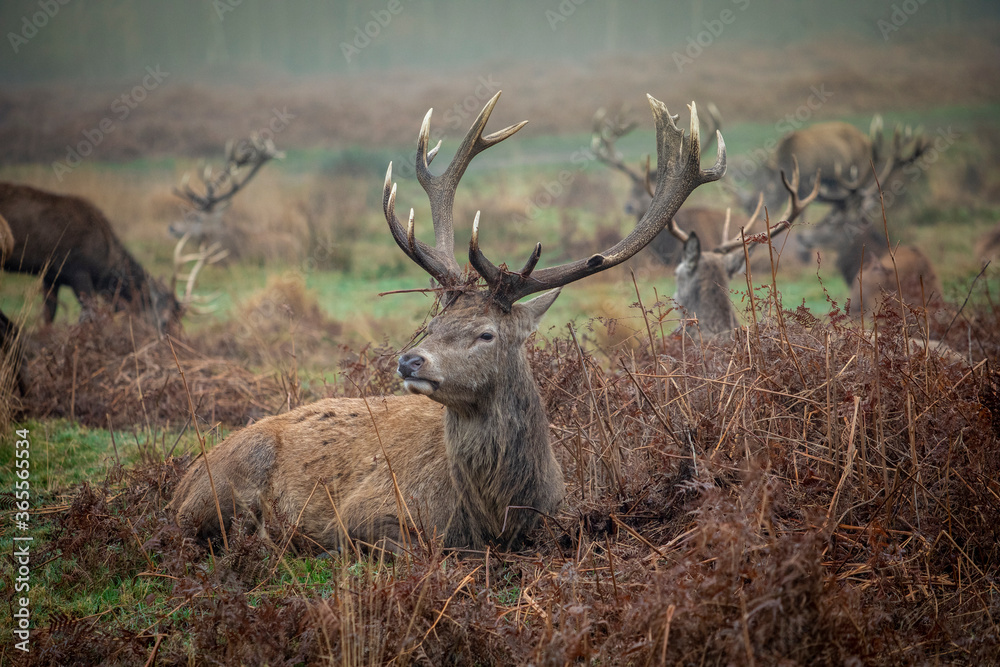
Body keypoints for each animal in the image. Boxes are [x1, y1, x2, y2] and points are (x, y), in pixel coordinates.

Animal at [170, 91, 726, 554]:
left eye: (486, 334)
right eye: (432, 324)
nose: (409, 361)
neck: (493, 517)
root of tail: (184, 480)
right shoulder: (362, 516)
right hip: (225, 489)